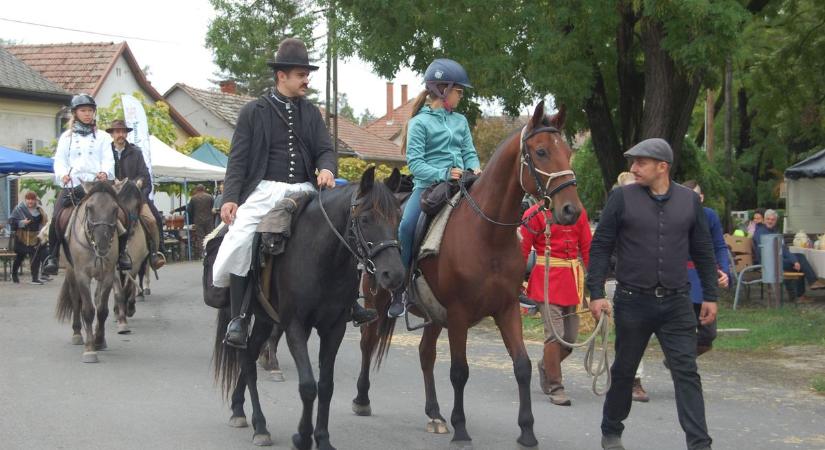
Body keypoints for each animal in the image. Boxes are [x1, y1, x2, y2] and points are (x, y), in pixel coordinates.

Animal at [352, 102, 580, 450]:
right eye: (541, 151)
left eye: (568, 151)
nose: (571, 210)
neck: (488, 236)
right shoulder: (459, 314)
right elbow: (460, 371)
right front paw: (461, 430)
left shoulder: (507, 309)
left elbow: (522, 366)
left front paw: (527, 431)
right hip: (377, 301)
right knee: (368, 342)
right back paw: (362, 399)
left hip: (432, 314)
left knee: (425, 354)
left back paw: (434, 414)